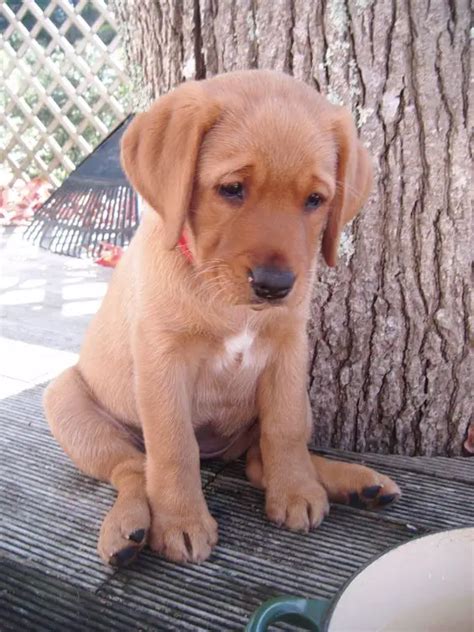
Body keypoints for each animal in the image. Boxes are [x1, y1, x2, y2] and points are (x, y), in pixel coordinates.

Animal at [44, 70, 400, 568]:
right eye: (232, 189)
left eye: (315, 200)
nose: (274, 285)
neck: (226, 301)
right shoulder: (162, 362)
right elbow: (174, 448)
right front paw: (180, 521)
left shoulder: (289, 351)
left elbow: (285, 430)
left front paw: (296, 491)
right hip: (67, 402)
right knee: (133, 469)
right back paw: (127, 528)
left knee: (256, 461)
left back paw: (351, 483)